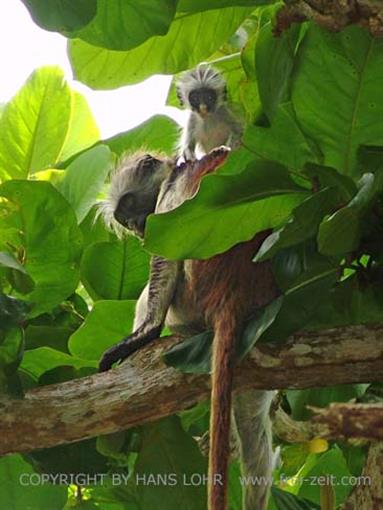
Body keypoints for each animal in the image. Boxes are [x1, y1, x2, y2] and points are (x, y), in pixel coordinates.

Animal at [98, 149, 280, 508]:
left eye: (130, 206)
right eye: (124, 220)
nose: (137, 228)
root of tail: (234, 291)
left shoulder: (168, 202)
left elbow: (164, 265)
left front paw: (138, 339)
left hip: (191, 300)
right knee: (252, 424)